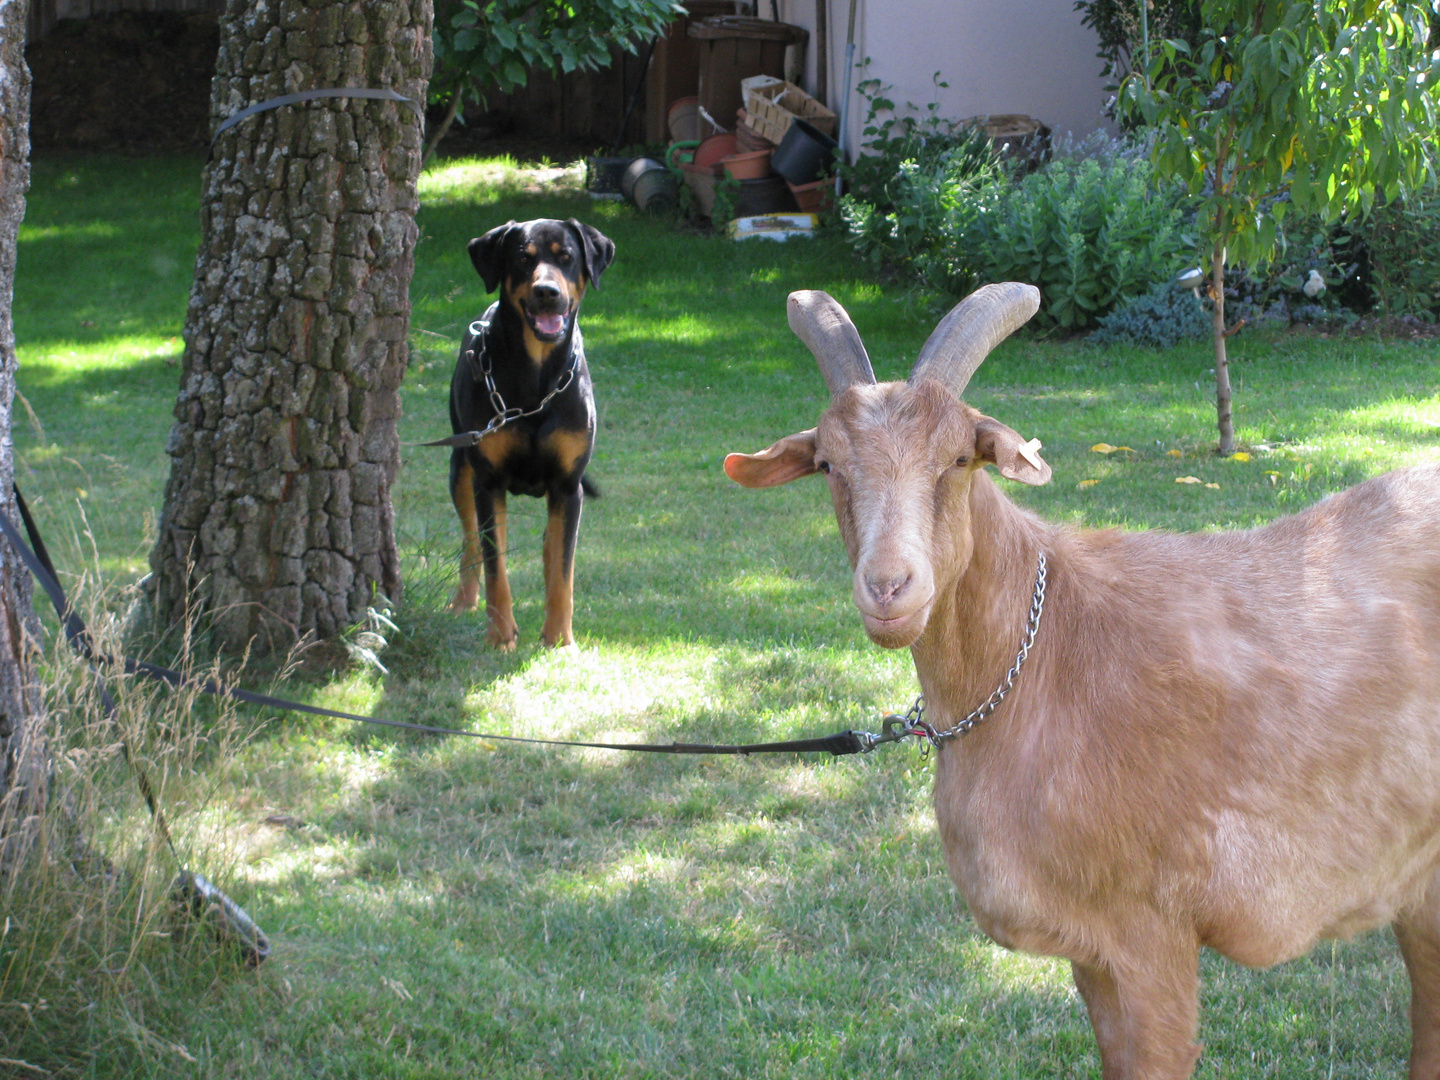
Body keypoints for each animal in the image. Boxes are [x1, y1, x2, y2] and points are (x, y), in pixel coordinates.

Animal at [446, 216, 610, 648]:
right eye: (523, 258)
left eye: (566, 257)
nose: (546, 292)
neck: (537, 381)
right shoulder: (488, 481)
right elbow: (495, 565)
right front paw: (501, 636)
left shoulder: (568, 486)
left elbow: (563, 570)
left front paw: (559, 639)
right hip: (459, 464)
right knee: (471, 539)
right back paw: (463, 601)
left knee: (552, 550)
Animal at [725, 285, 1440, 1080]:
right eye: (827, 464)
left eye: (959, 458)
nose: (888, 587)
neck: (1041, 660)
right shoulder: (1095, 954)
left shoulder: (1153, 935)